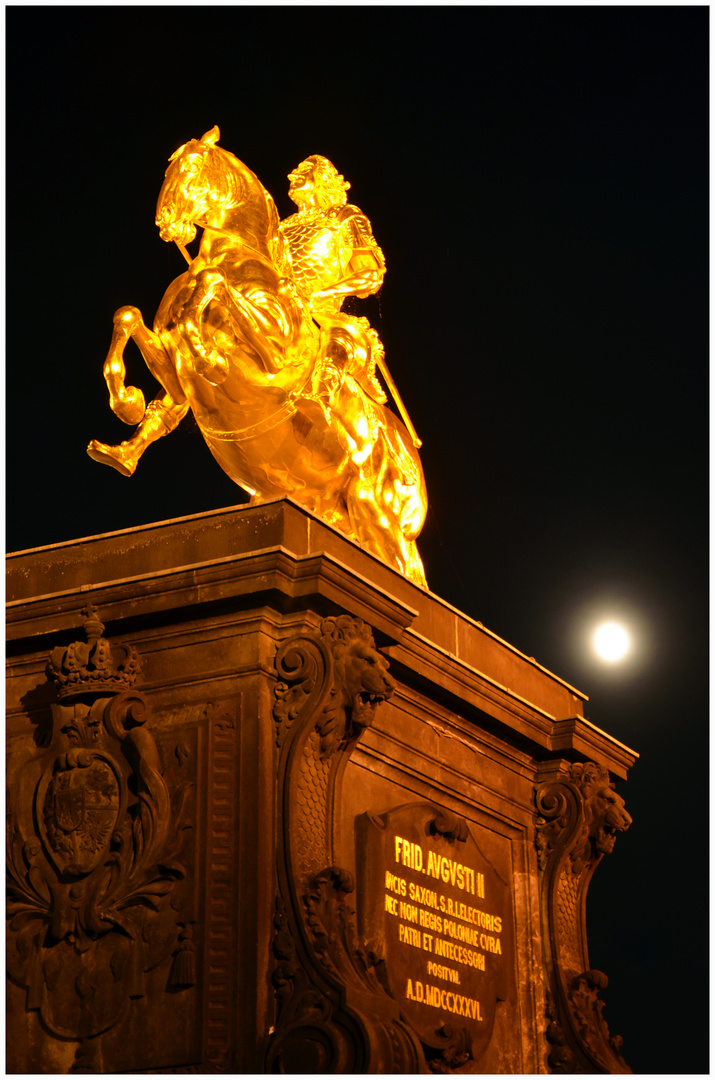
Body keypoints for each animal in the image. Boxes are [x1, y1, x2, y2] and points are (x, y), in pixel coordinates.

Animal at [87, 129, 427, 587]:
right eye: (169, 168)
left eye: (191, 167)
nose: (166, 223)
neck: (240, 257)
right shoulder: (169, 360)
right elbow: (129, 318)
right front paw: (127, 405)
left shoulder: (276, 354)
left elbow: (213, 285)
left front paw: (209, 355)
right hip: (328, 506)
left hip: (379, 517)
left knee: (413, 577)